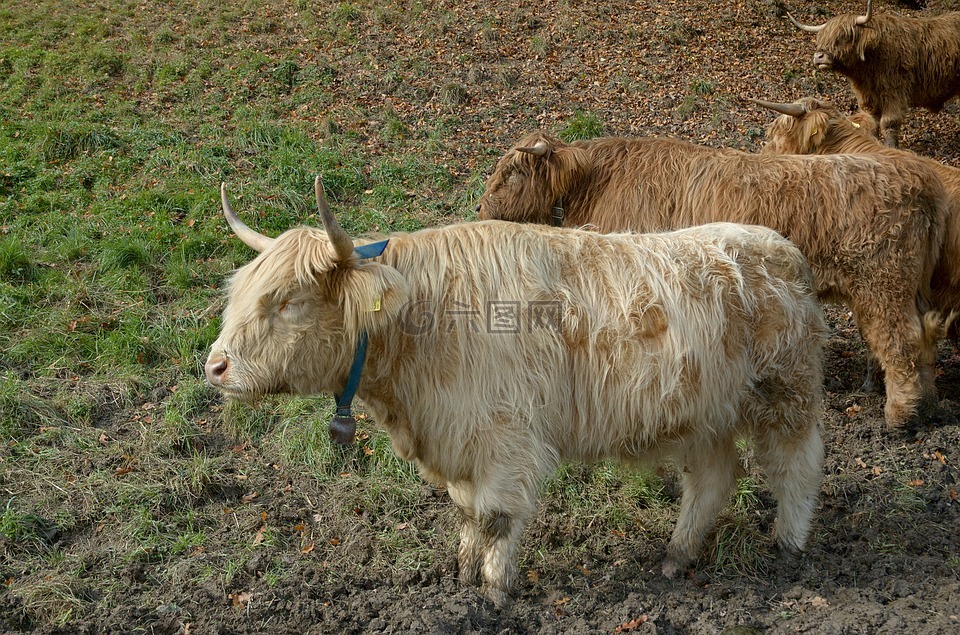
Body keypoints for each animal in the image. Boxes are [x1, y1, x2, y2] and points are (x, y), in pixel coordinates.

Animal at [208, 180, 824, 608]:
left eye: (288, 301)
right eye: (241, 291)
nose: (214, 366)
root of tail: (780, 247)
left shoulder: (506, 437)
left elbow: (497, 517)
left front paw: (493, 593)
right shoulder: (459, 439)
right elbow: (467, 513)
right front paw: (461, 577)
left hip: (784, 394)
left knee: (797, 464)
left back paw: (789, 545)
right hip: (703, 414)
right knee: (714, 478)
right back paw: (675, 556)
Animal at [476, 130, 948, 428]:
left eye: (511, 173)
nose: (479, 208)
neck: (595, 185)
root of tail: (920, 177)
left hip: (882, 285)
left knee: (902, 342)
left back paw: (901, 415)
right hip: (907, 290)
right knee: (926, 338)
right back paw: (926, 403)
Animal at [792, 0, 960, 147]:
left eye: (844, 36)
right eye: (821, 37)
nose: (818, 56)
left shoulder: (895, 92)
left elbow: (889, 122)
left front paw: (890, 146)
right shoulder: (867, 95)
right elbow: (871, 121)